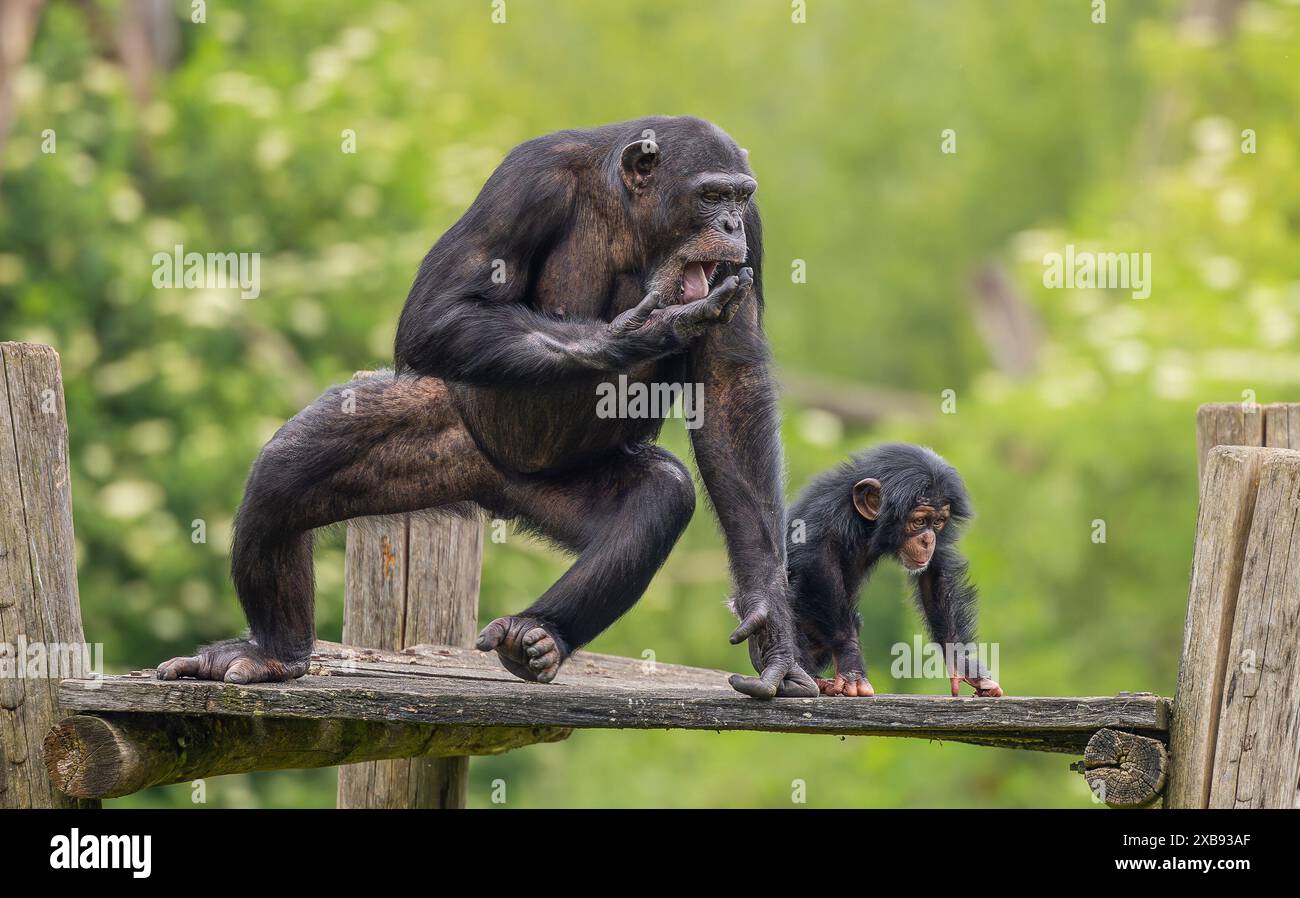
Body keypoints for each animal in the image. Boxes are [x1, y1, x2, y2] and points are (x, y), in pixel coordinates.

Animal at [156, 117, 817, 700]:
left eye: (738, 197)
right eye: (709, 195)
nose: (727, 222)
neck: (632, 212)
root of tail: (495, 485)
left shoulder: (754, 234)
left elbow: (731, 387)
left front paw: (771, 624)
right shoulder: (524, 182)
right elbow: (439, 309)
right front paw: (637, 331)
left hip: (556, 486)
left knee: (661, 495)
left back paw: (538, 634)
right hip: (453, 432)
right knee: (286, 473)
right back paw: (275, 653)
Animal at [784, 443, 1003, 697]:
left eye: (937, 522)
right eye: (919, 522)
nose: (928, 540)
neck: (863, 524)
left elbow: (934, 574)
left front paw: (961, 661)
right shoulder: (826, 518)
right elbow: (819, 564)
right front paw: (851, 664)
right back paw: (809, 678)